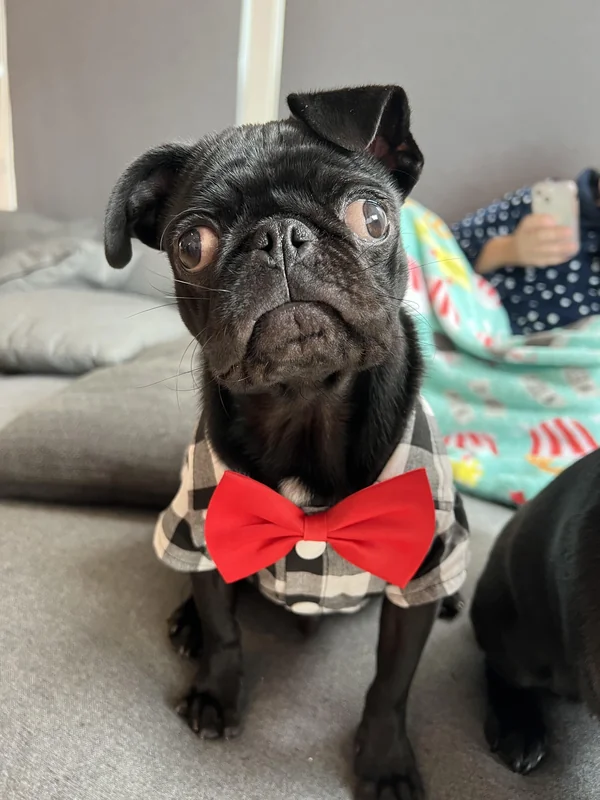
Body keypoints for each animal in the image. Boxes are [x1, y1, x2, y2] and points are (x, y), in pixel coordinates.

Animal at [104, 85, 469, 800]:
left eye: (372, 216)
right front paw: (215, 694)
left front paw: (385, 761)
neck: (304, 403)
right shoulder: (207, 527)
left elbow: (391, 681)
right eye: (191, 244)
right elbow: (225, 630)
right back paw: (185, 623)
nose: (279, 237)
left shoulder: (415, 562)